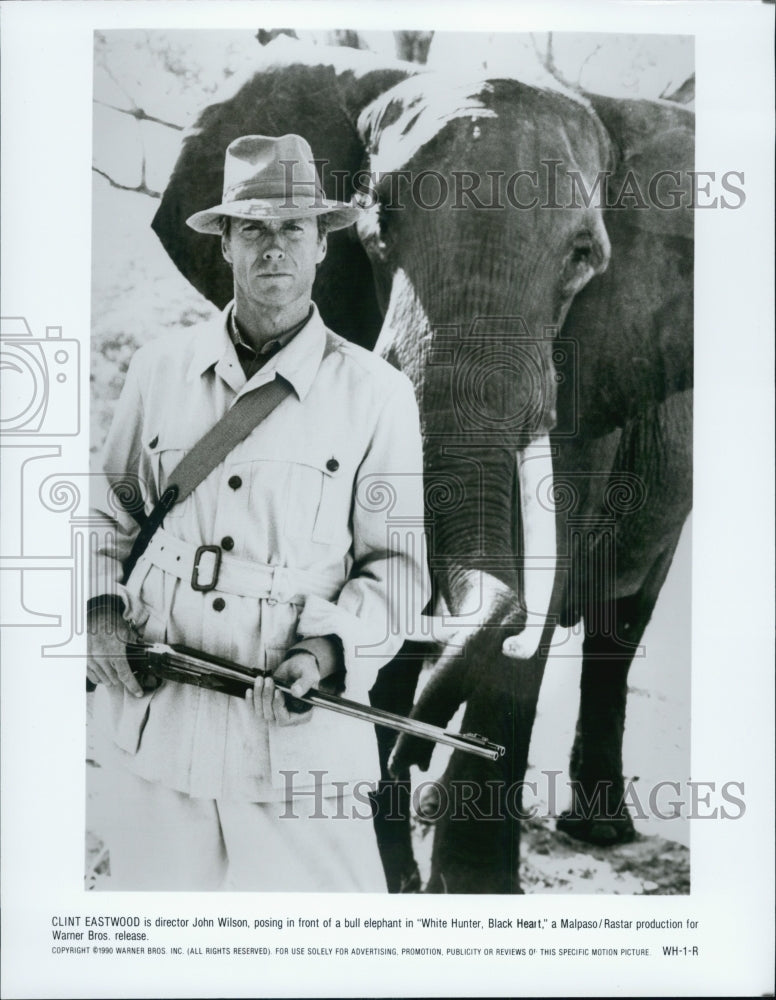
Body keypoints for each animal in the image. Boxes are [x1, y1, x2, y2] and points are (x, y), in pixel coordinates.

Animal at [150, 43, 692, 896]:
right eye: (374, 229)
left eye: (584, 258)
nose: (410, 751)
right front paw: (392, 868)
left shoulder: (589, 368)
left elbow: (532, 596)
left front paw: (467, 891)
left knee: (622, 622)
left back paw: (595, 827)